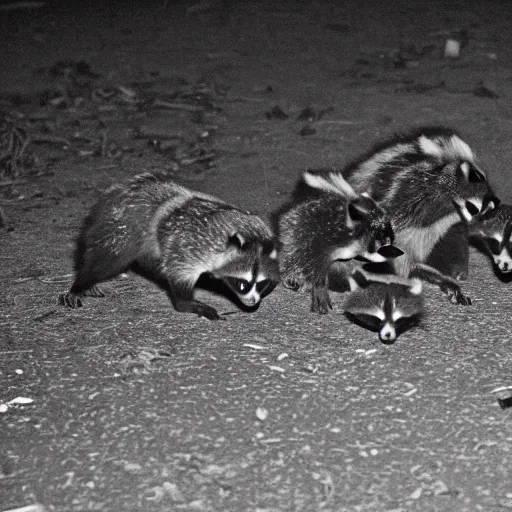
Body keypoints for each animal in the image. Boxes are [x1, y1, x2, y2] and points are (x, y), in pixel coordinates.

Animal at [59, 173, 280, 320]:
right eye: (242, 284)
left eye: (262, 284)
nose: (252, 301)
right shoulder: (190, 245)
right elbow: (179, 277)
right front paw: (187, 304)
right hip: (121, 230)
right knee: (106, 260)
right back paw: (81, 282)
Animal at [276, 174, 404, 314]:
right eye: (384, 244)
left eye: (391, 241)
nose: (399, 253)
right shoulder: (324, 238)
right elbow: (317, 261)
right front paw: (319, 287)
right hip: (297, 231)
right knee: (296, 255)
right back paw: (292, 277)